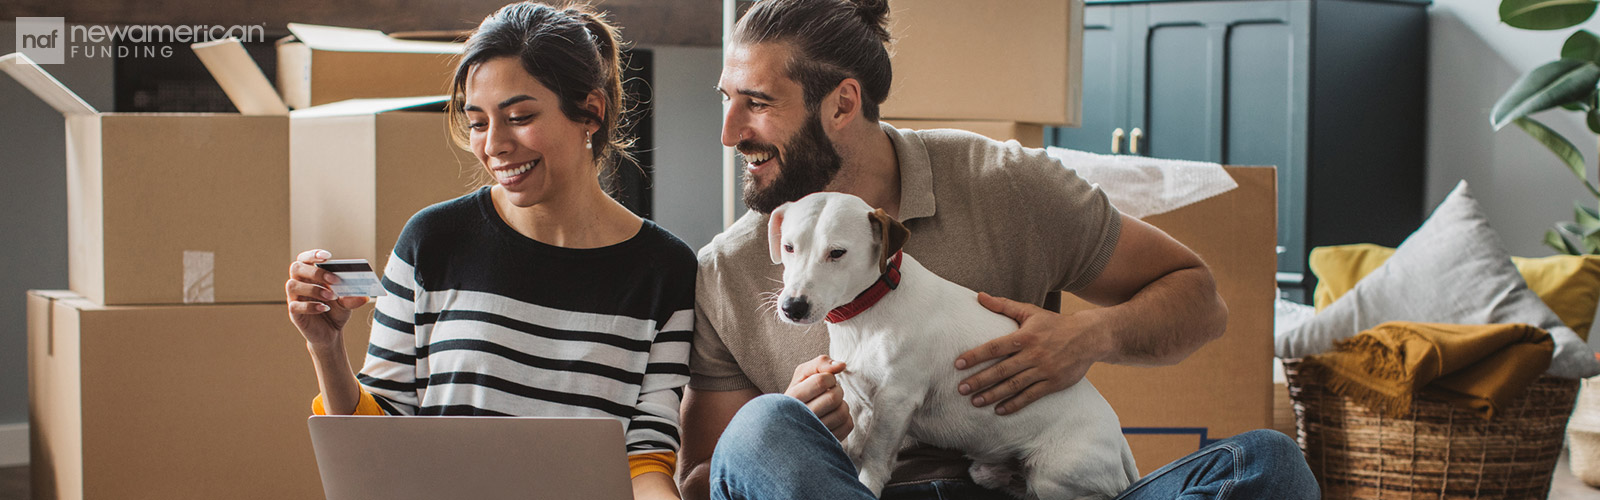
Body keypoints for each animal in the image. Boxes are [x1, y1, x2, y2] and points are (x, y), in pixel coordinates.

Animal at [764, 192, 1132, 500]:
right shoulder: (861, 402)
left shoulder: (896, 401)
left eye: (837, 252)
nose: (792, 307)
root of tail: (1120, 444)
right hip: (995, 470)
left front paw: (868, 484)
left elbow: (875, 458)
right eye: (789, 247)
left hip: (1053, 477)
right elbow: (852, 444)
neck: (869, 308)